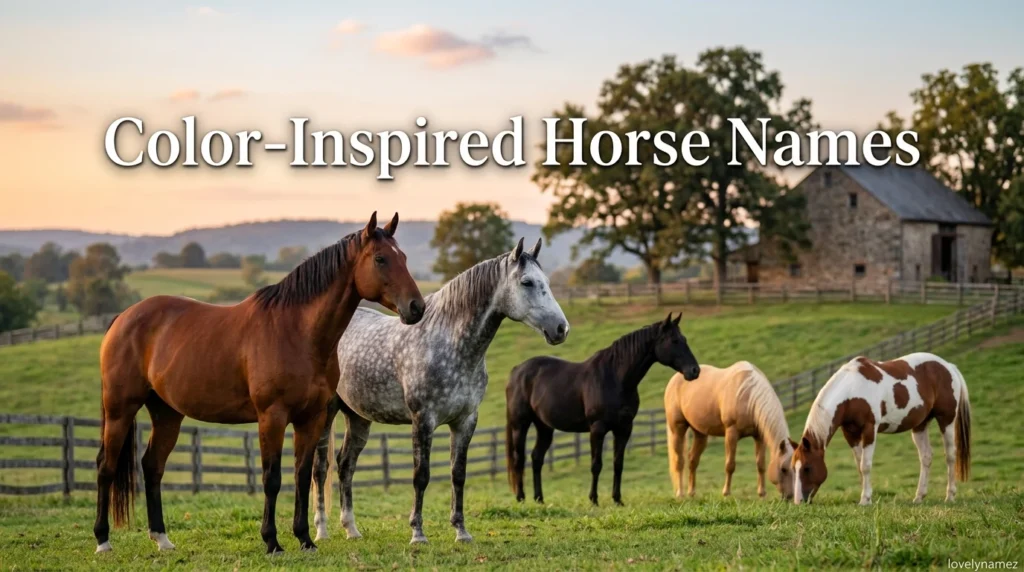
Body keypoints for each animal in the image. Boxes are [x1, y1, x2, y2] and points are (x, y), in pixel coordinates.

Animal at [94, 212, 425, 555]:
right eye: (380, 259)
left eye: (403, 257)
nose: (416, 307)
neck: (296, 332)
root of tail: (123, 318)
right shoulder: (272, 416)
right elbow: (272, 477)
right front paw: (272, 541)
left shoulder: (311, 418)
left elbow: (302, 475)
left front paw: (305, 539)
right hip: (120, 409)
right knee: (106, 466)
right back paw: (103, 541)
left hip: (167, 413)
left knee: (152, 466)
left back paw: (162, 538)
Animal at [311, 238, 569, 545]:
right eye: (527, 282)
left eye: (546, 282)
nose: (561, 328)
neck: (449, 342)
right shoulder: (424, 419)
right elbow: (421, 475)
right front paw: (418, 534)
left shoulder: (465, 420)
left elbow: (458, 474)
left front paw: (461, 531)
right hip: (326, 414)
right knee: (320, 469)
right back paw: (322, 531)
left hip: (358, 416)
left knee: (345, 465)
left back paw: (351, 529)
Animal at [505, 313, 700, 507]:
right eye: (674, 340)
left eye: (683, 339)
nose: (694, 371)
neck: (615, 377)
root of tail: (517, 371)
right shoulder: (597, 429)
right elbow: (596, 464)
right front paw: (594, 499)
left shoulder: (624, 429)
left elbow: (618, 463)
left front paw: (617, 499)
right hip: (520, 425)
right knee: (519, 459)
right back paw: (520, 498)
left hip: (544, 427)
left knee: (536, 458)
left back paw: (539, 498)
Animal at [664, 361, 796, 500]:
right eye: (783, 469)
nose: (790, 496)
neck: (748, 395)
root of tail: (675, 378)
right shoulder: (731, 433)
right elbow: (730, 465)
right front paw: (726, 493)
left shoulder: (759, 436)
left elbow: (761, 464)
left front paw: (762, 493)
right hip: (678, 429)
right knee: (679, 461)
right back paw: (680, 493)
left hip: (700, 433)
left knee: (693, 460)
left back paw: (692, 492)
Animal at [791, 352, 972, 506]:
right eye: (794, 468)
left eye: (807, 468)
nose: (798, 501)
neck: (852, 390)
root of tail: (948, 366)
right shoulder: (850, 433)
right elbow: (859, 465)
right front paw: (866, 495)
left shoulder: (869, 429)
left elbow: (865, 465)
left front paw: (865, 500)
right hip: (920, 425)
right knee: (926, 457)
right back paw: (919, 497)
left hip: (946, 420)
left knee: (950, 455)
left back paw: (950, 496)